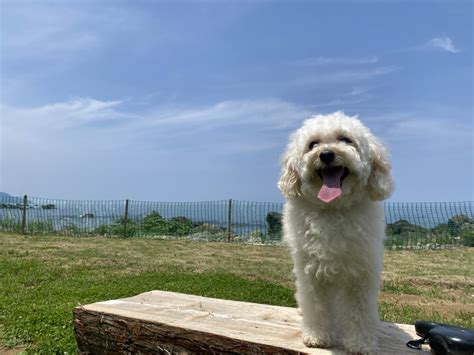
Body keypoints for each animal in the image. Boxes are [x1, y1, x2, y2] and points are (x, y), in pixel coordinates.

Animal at [278, 112, 392, 354]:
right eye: (313, 144)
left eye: (346, 140)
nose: (327, 154)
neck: (333, 209)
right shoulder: (311, 273)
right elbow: (317, 307)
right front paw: (317, 337)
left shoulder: (361, 273)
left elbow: (359, 311)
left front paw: (360, 343)